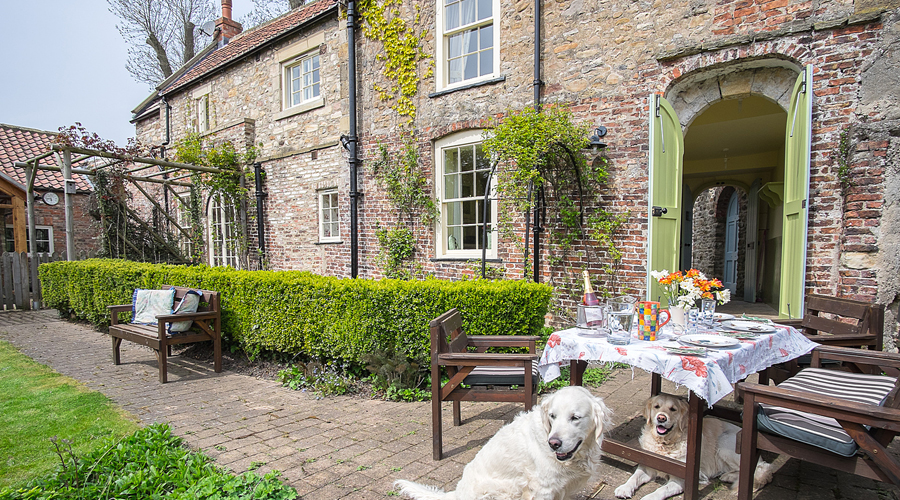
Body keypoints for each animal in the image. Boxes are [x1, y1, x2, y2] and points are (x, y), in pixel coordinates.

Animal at [394, 386, 612, 500]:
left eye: (575, 418)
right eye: (553, 416)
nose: (554, 443)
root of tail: (457, 492)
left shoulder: (562, 489)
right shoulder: (542, 489)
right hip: (504, 488)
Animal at [616, 394, 776, 500]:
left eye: (673, 409)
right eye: (656, 407)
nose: (661, 418)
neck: (664, 443)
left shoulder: (680, 480)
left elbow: (661, 490)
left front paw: (649, 497)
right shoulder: (647, 467)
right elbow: (633, 478)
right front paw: (624, 488)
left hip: (724, 444)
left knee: (761, 469)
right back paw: (727, 476)